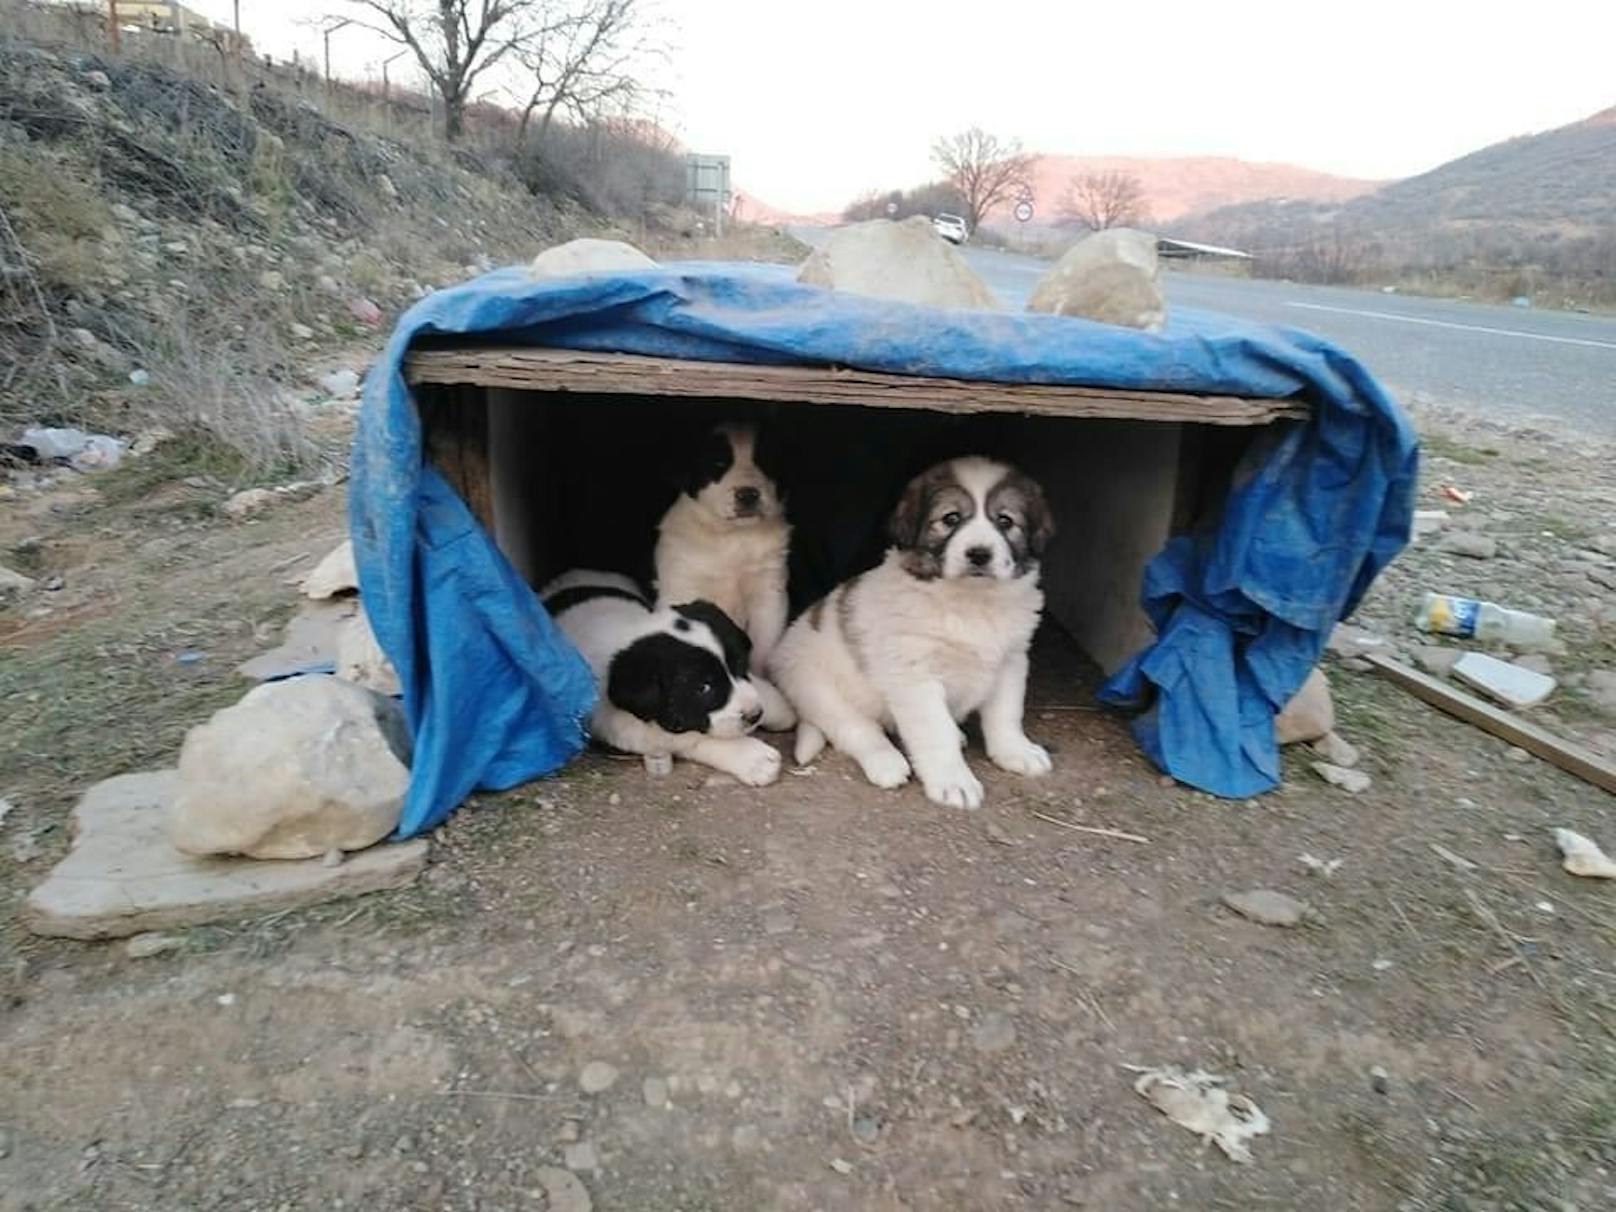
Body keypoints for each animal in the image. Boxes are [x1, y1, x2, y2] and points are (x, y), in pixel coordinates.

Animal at [542, 568, 782, 788]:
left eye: (740, 664)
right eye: (704, 688)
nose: (754, 715)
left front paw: (778, 706)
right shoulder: (622, 723)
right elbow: (691, 737)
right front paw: (754, 758)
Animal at [656, 423, 795, 730]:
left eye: (765, 460)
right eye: (718, 463)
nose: (748, 494)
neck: (732, 538)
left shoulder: (769, 596)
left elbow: (763, 649)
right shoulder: (680, 586)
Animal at [772, 458, 1060, 811]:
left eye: (1005, 520)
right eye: (951, 518)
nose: (979, 554)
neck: (971, 601)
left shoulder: (1011, 661)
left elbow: (1006, 714)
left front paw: (1015, 751)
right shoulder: (914, 675)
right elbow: (936, 730)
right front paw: (953, 781)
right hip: (817, 689)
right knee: (857, 728)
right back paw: (886, 762)